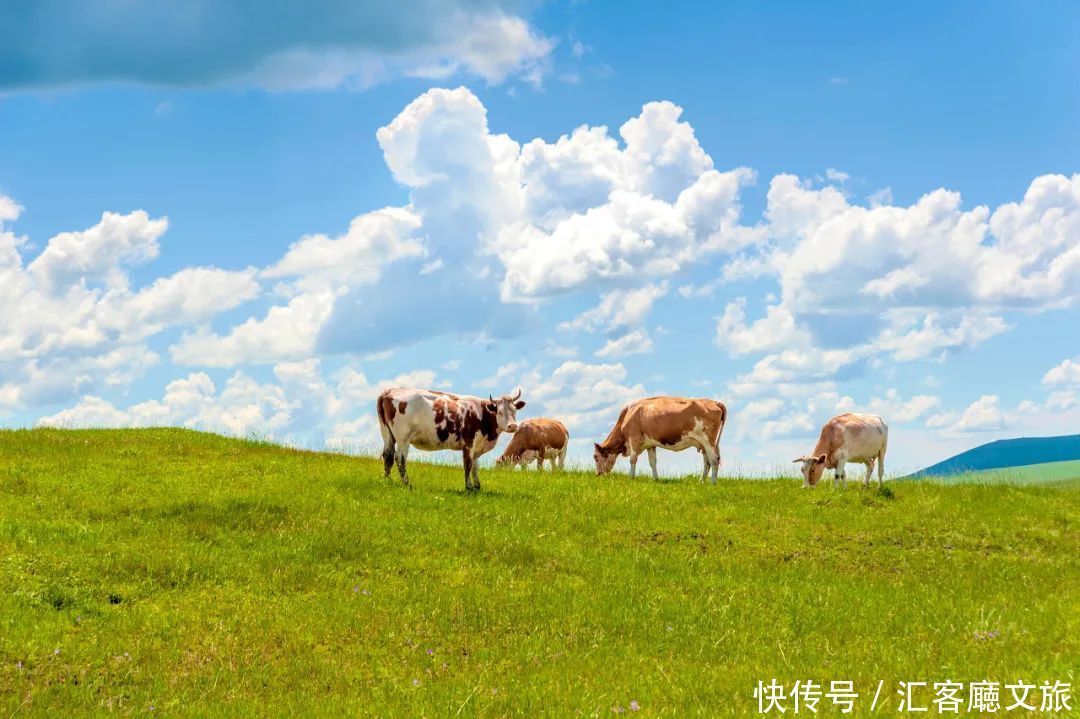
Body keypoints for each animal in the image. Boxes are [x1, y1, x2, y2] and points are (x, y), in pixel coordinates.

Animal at [375, 386, 527, 492]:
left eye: (514, 411)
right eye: (499, 412)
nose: (513, 426)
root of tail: (390, 391)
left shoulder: (477, 445)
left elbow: (475, 466)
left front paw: (477, 486)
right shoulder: (468, 443)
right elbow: (468, 465)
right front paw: (469, 487)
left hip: (387, 434)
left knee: (388, 456)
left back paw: (387, 481)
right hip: (403, 438)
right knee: (400, 458)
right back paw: (407, 483)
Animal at [596, 392, 730, 481]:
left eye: (595, 457)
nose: (598, 474)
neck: (628, 414)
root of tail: (715, 402)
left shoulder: (633, 438)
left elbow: (633, 459)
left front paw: (631, 478)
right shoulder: (650, 444)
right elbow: (652, 462)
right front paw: (655, 479)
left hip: (708, 441)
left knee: (714, 460)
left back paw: (712, 483)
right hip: (704, 444)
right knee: (707, 461)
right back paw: (701, 481)